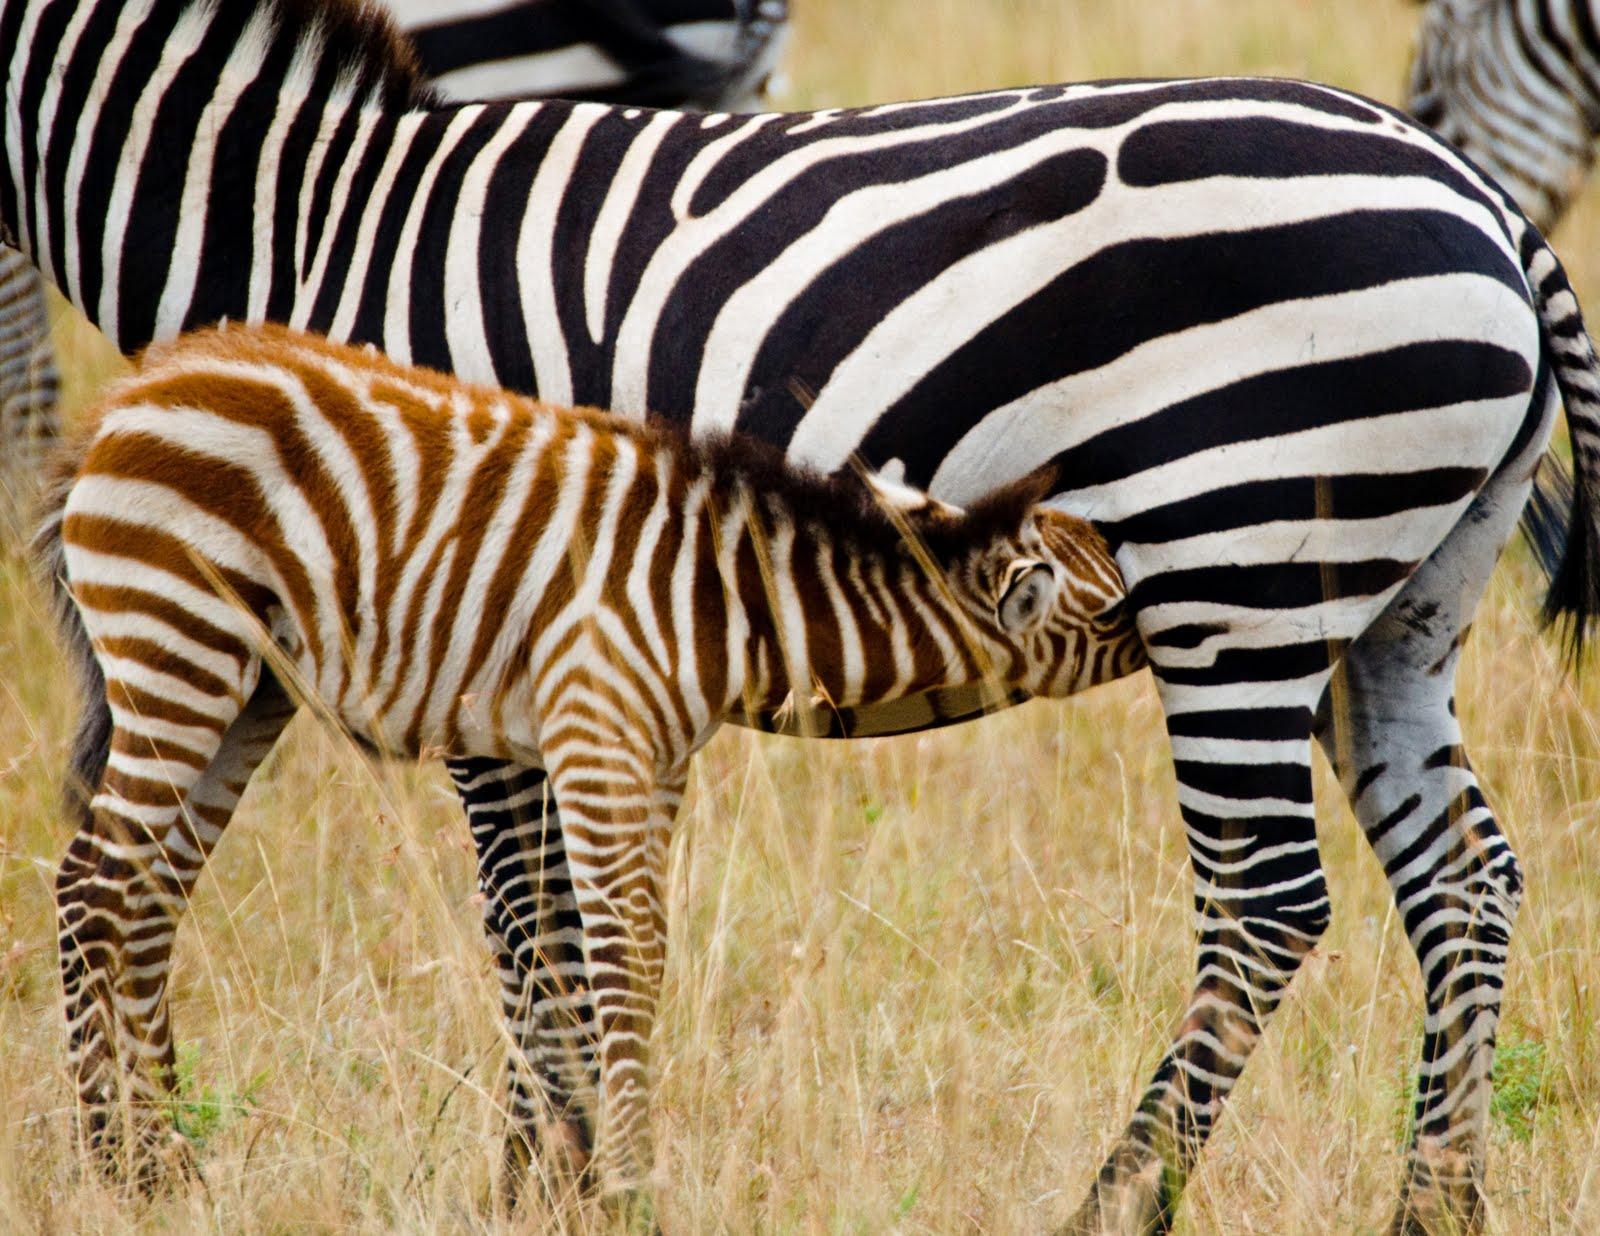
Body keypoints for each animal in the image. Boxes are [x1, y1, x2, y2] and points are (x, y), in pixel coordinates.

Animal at [35, 320, 1142, 1203]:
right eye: (1118, 612)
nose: (1182, 623)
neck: (727, 600)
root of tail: (130, 397)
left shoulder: (655, 758)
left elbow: (642, 958)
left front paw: (605, 1174)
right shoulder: (596, 733)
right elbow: (620, 952)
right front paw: (630, 1186)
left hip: (244, 690)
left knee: (150, 895)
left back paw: (173, 1165)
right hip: (177, 643)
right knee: (95, 883)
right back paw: (112, 1167)